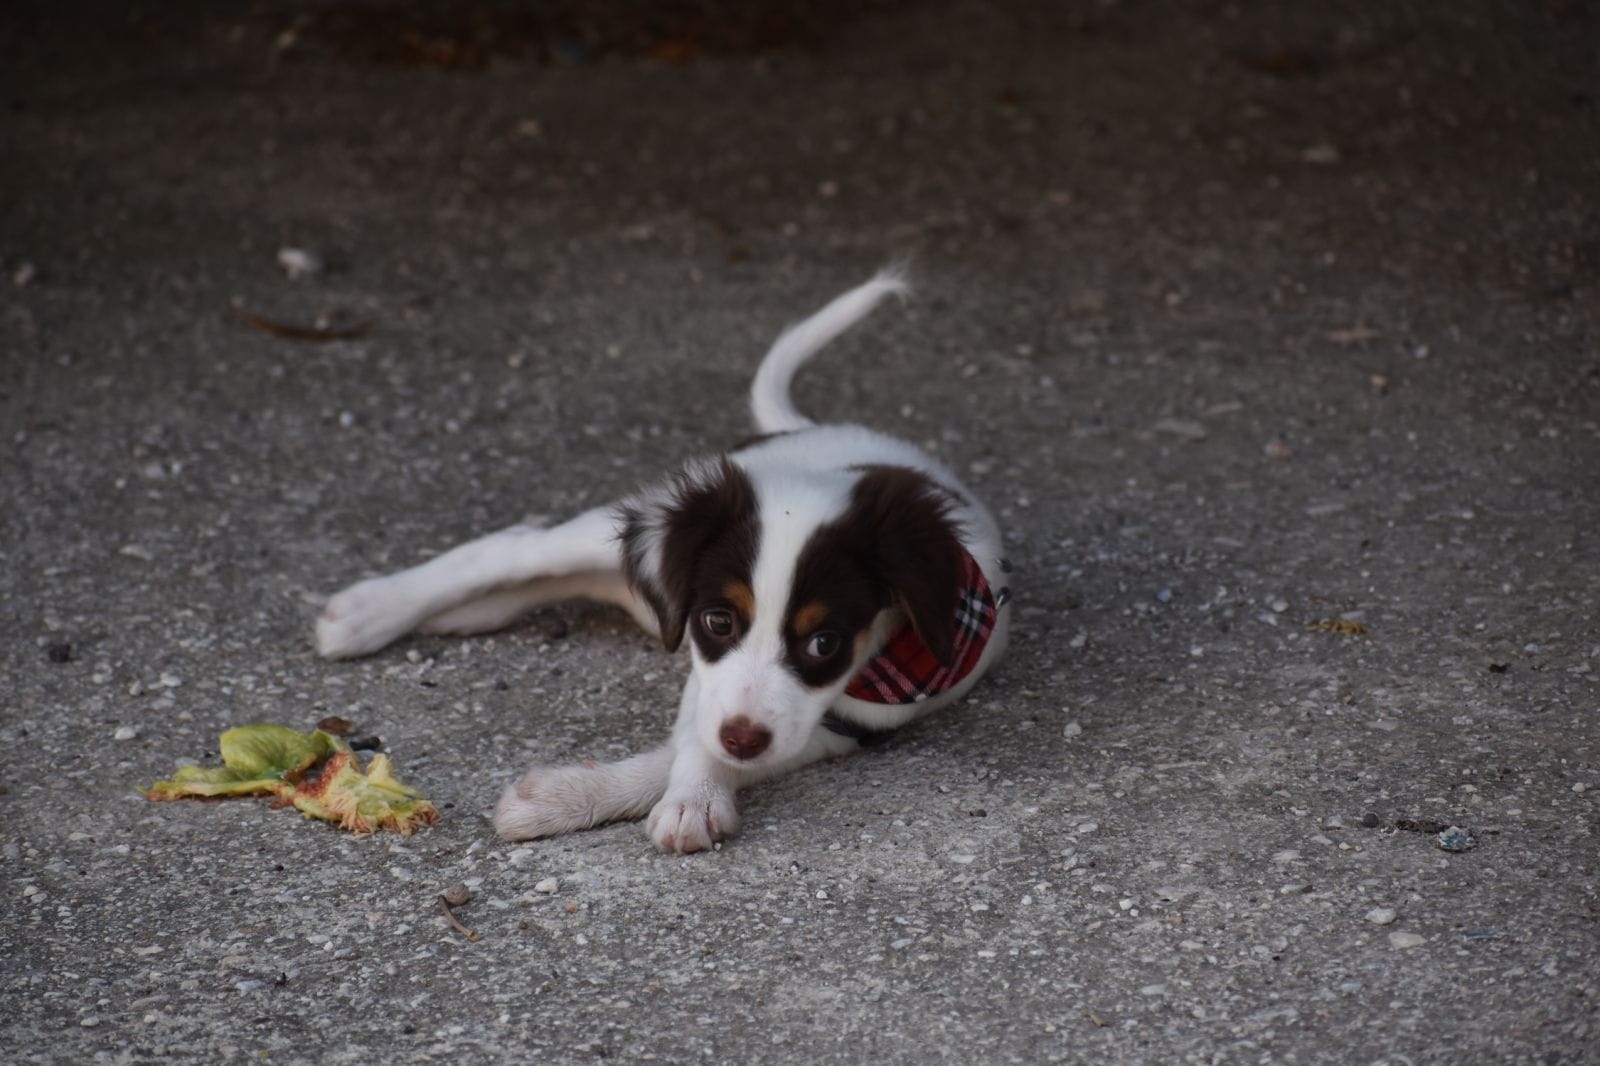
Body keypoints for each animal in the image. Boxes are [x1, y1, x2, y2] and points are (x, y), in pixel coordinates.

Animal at [313, 272, 1011, 845]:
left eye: (824, 644)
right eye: (720, 621)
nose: (743, 736)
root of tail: (810, 430)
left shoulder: (843, 723)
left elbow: (702, 746)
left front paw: (610, 798)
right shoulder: (707, 663)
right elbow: (699, 734)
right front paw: (652, 795)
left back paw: (464, 614)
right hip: (629, 524)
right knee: (513, 546)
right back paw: (369, 611)